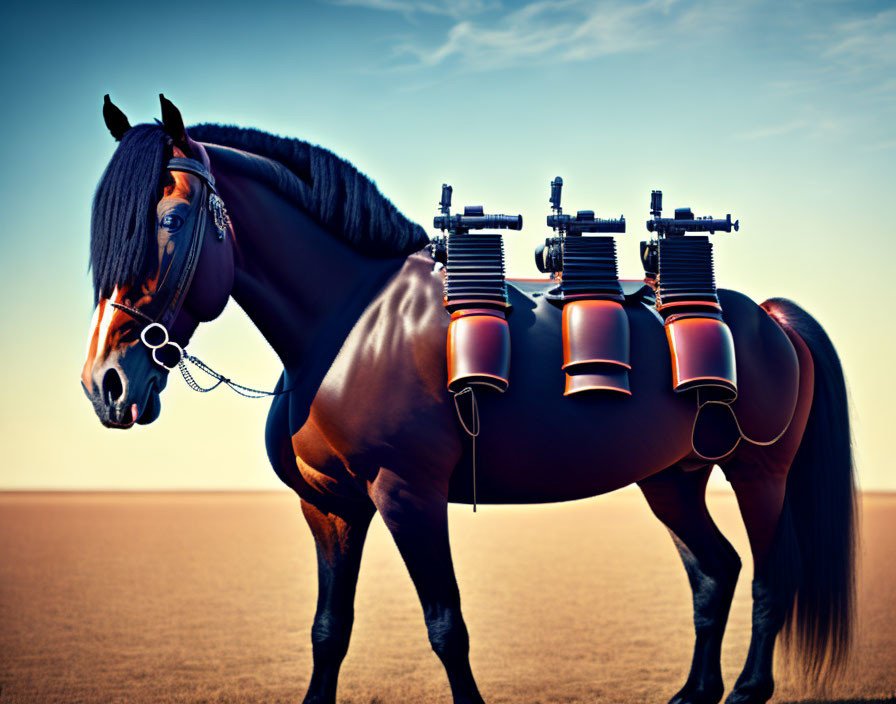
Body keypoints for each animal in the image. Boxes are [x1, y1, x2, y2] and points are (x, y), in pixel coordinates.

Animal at [82, 96, 856, 704]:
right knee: (714, 573)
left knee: (769, 578)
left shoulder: (408, 494)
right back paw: (695, 692)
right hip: (673, 478)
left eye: (172, 220)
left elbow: (446, 627)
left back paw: (748, 691)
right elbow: (329, 631)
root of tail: (770, 319)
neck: (350, 322)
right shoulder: (329, 506)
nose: (106, 384)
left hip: (758, 474)